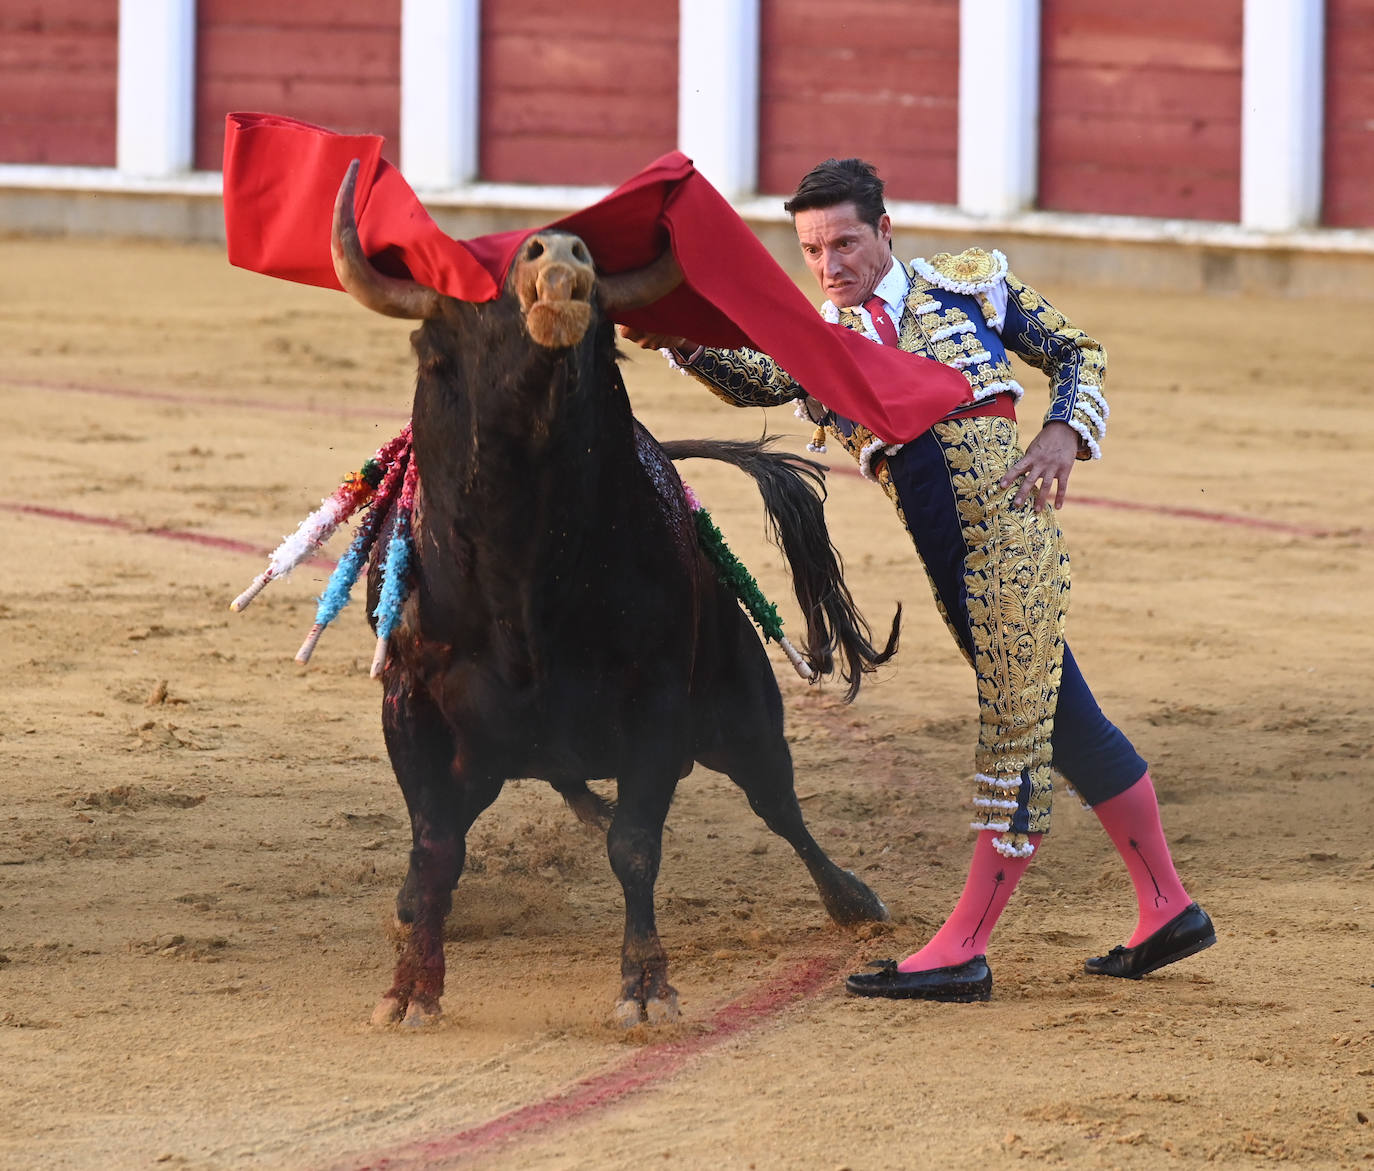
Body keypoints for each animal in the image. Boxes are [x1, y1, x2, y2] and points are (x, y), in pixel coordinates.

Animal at [327, 162, 895, 1022]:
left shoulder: (655, 704)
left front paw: (646, 985)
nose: (560, 255)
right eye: (458, 309)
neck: (521, 571)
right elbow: (433, 848)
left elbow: (636, 845)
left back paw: (853, 901)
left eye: (604, 334)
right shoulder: (411, 702)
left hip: (741, 708)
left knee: (779, 802)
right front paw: (410, 987)